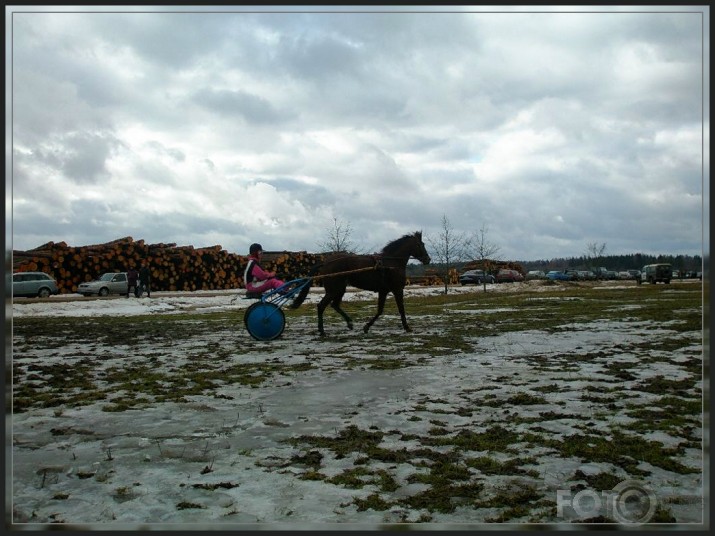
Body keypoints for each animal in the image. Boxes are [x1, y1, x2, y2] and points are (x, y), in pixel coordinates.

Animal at [290, 229, 430, 336]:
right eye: (421, 244)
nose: (428, 259)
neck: (390, 263)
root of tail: (326, 262)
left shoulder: (384, 291)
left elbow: (380, 310)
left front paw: (366, 327)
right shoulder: (397, 289)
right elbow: (401, 309)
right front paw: (407, 327)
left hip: (340, 289)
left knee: (335, 305)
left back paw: (349, 323)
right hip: (333, 290)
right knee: (321, 306)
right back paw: (322, 331)